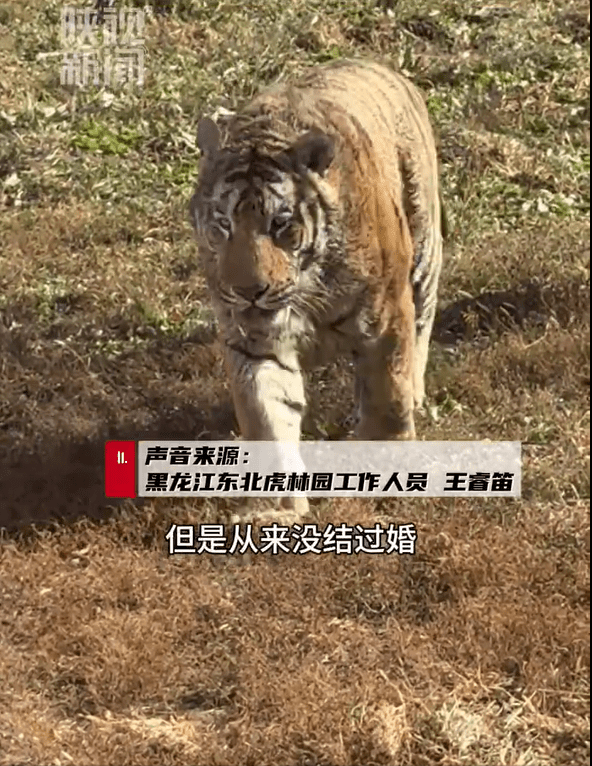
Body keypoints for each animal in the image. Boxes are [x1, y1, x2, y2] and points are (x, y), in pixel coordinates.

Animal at [189, 59, 444, 521]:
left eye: (280, 224)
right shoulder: (255, 342)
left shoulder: (385, 318)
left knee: (421, 328)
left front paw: (388, 470)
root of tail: (380, 65)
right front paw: (271, 508)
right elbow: (266, 416)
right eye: (223, 224)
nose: (249, 290)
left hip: (423, 247)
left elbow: (389, 396)